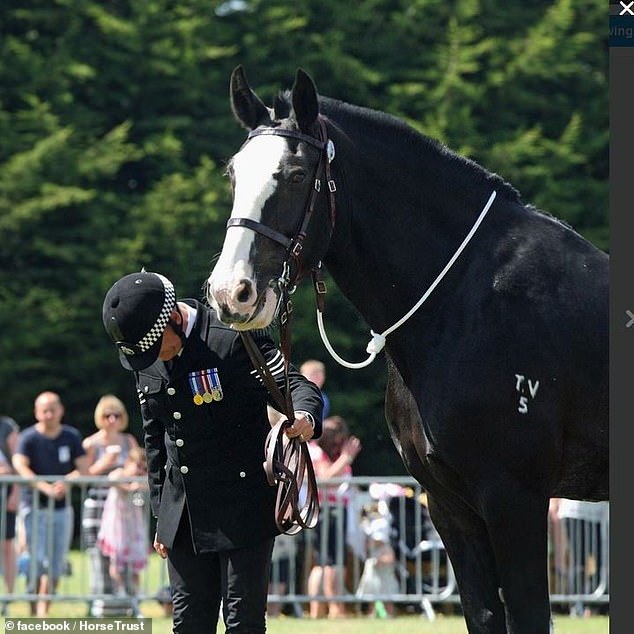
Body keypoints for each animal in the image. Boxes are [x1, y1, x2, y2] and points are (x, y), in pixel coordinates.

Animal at [205, 66, 604, 628]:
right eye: (234, 175)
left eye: (297, 175)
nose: (231, 293)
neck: (466, 299)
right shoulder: (450, 506)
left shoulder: (515, 500)